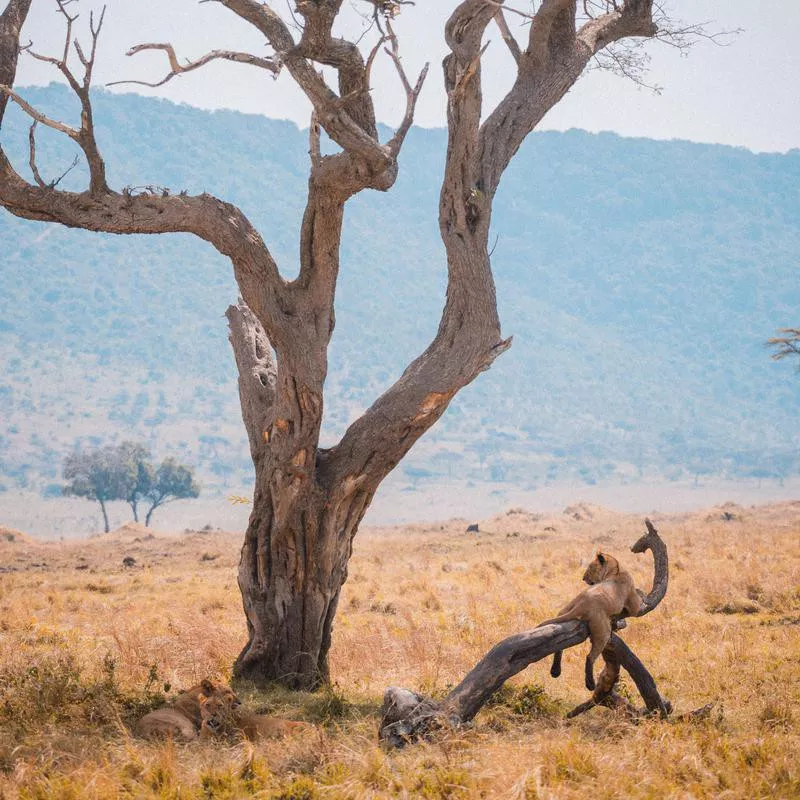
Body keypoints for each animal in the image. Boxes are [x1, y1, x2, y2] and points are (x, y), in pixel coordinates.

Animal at [540, 552, 640, 692]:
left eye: (590, 568)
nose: (583, 578)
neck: (616, 570)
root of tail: (581, 604)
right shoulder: (634, 606)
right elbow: (639, 601)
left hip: (565, 609)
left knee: (559, 647)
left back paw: (555, 671)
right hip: (602, 631)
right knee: (590, 657)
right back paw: (590, 684)